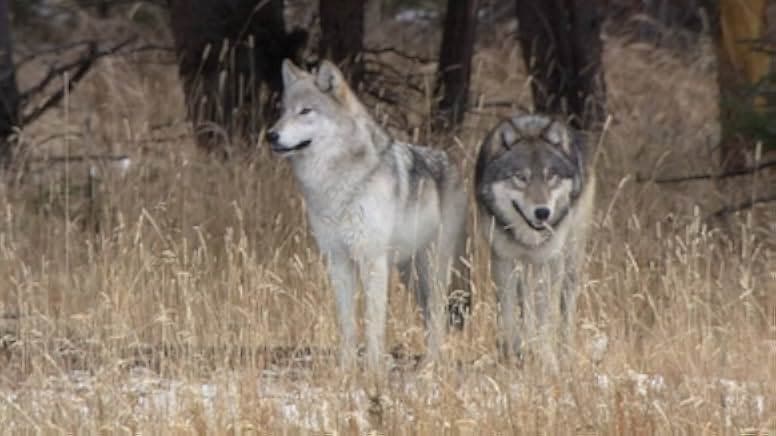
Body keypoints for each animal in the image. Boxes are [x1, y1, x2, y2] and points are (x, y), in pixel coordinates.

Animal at [266, 59, 468, 372]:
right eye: (283, 110)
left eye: (305, 111)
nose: (271, 135)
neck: (336, 184)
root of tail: (452, 162)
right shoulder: (338, 261)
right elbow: (348, 324)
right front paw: (346, 370)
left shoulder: (373, 261)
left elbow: (373, 324)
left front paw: (373, 370)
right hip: (410, 274)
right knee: (429, 315)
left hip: (433, 268)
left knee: (437, 315)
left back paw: (430, 366)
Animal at [475, 113, 595, 370]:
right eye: (521, 177)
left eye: (551, 176)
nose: (542, 213)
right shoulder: (503, 259)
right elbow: (509, 314)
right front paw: (511, 355)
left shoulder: (547, 260)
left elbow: (545, 317)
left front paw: (548, 361)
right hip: (525, 268)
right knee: (525, 304)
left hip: (569, 260)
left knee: (564, 310)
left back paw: (564, 353)